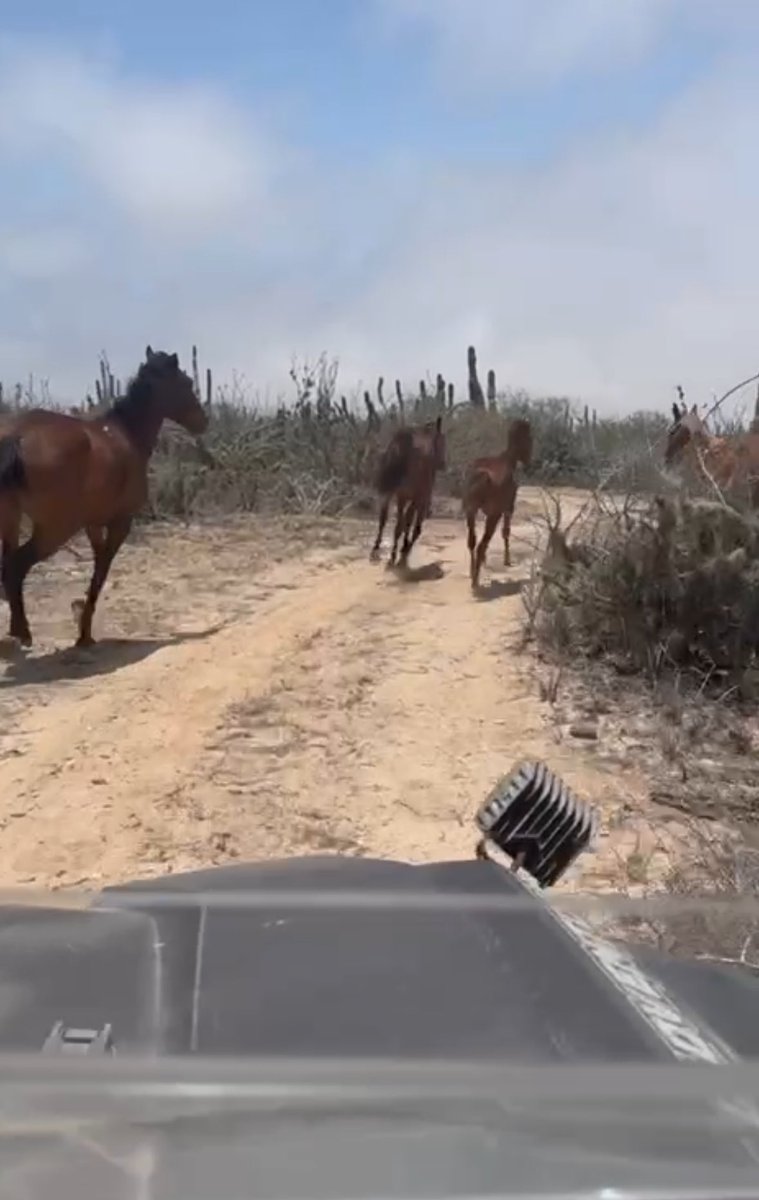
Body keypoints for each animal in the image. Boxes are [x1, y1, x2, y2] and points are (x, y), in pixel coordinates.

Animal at [0, 346, 208, 649]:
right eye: (187, 382)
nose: (203, 421)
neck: (127, 434)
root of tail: (17, 436)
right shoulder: (121, 523)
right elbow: (101, 573)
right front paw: (84, 634)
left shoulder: (93, 524)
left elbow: (97, 567)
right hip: (55, 529)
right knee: (16, 566)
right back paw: (23, 632)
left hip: (11, 518)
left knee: (7, 566)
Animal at [369, 415, 446, 568]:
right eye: (443, 441)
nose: (443, 464)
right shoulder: (418, 497)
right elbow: (412, 523)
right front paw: (406, 546)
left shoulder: (403, 497)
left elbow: (404, 521)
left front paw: (403, 545)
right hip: (409, 496)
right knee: (404, 522)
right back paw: (395, 553)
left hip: (389, 493)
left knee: (384, 518)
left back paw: (377, 548)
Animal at [463, 417, 533, 590]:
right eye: (529, 439)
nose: (528, 460)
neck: (508, 460)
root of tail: (479, 475)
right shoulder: (508, 508)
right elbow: (506, 531)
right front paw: (507, 560)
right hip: (494, 515)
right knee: (481, 544)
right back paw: (475, 580)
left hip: (470, 511)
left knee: (472, 541)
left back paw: (473, 572)